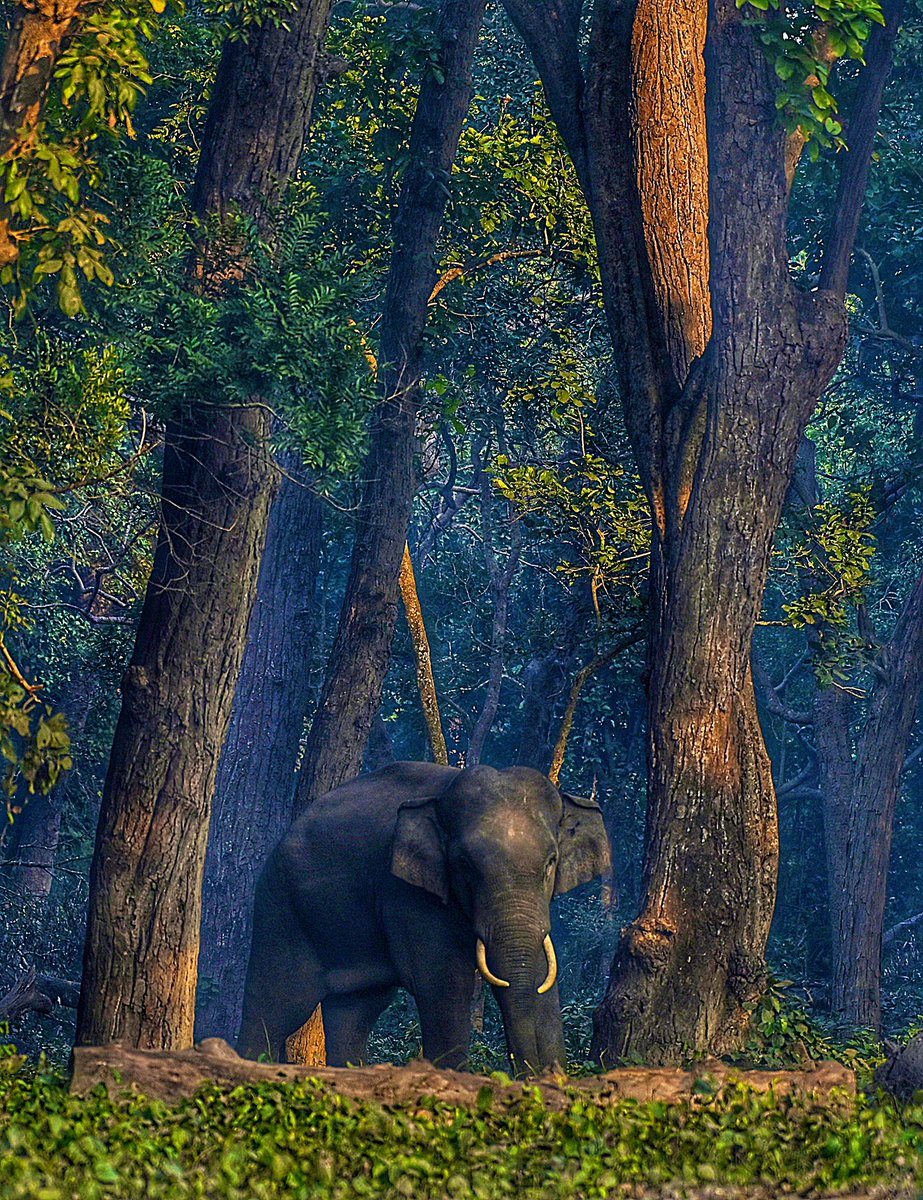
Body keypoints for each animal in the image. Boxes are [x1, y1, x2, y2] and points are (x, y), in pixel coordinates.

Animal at [236, 761, 611, 1076]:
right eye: (464, 866)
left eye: (551, 862)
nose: (533, 1076)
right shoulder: (407, 895)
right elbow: (444, 983)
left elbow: (539, 976)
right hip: (281, 911)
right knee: (275, 1006)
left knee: (353, 1012)